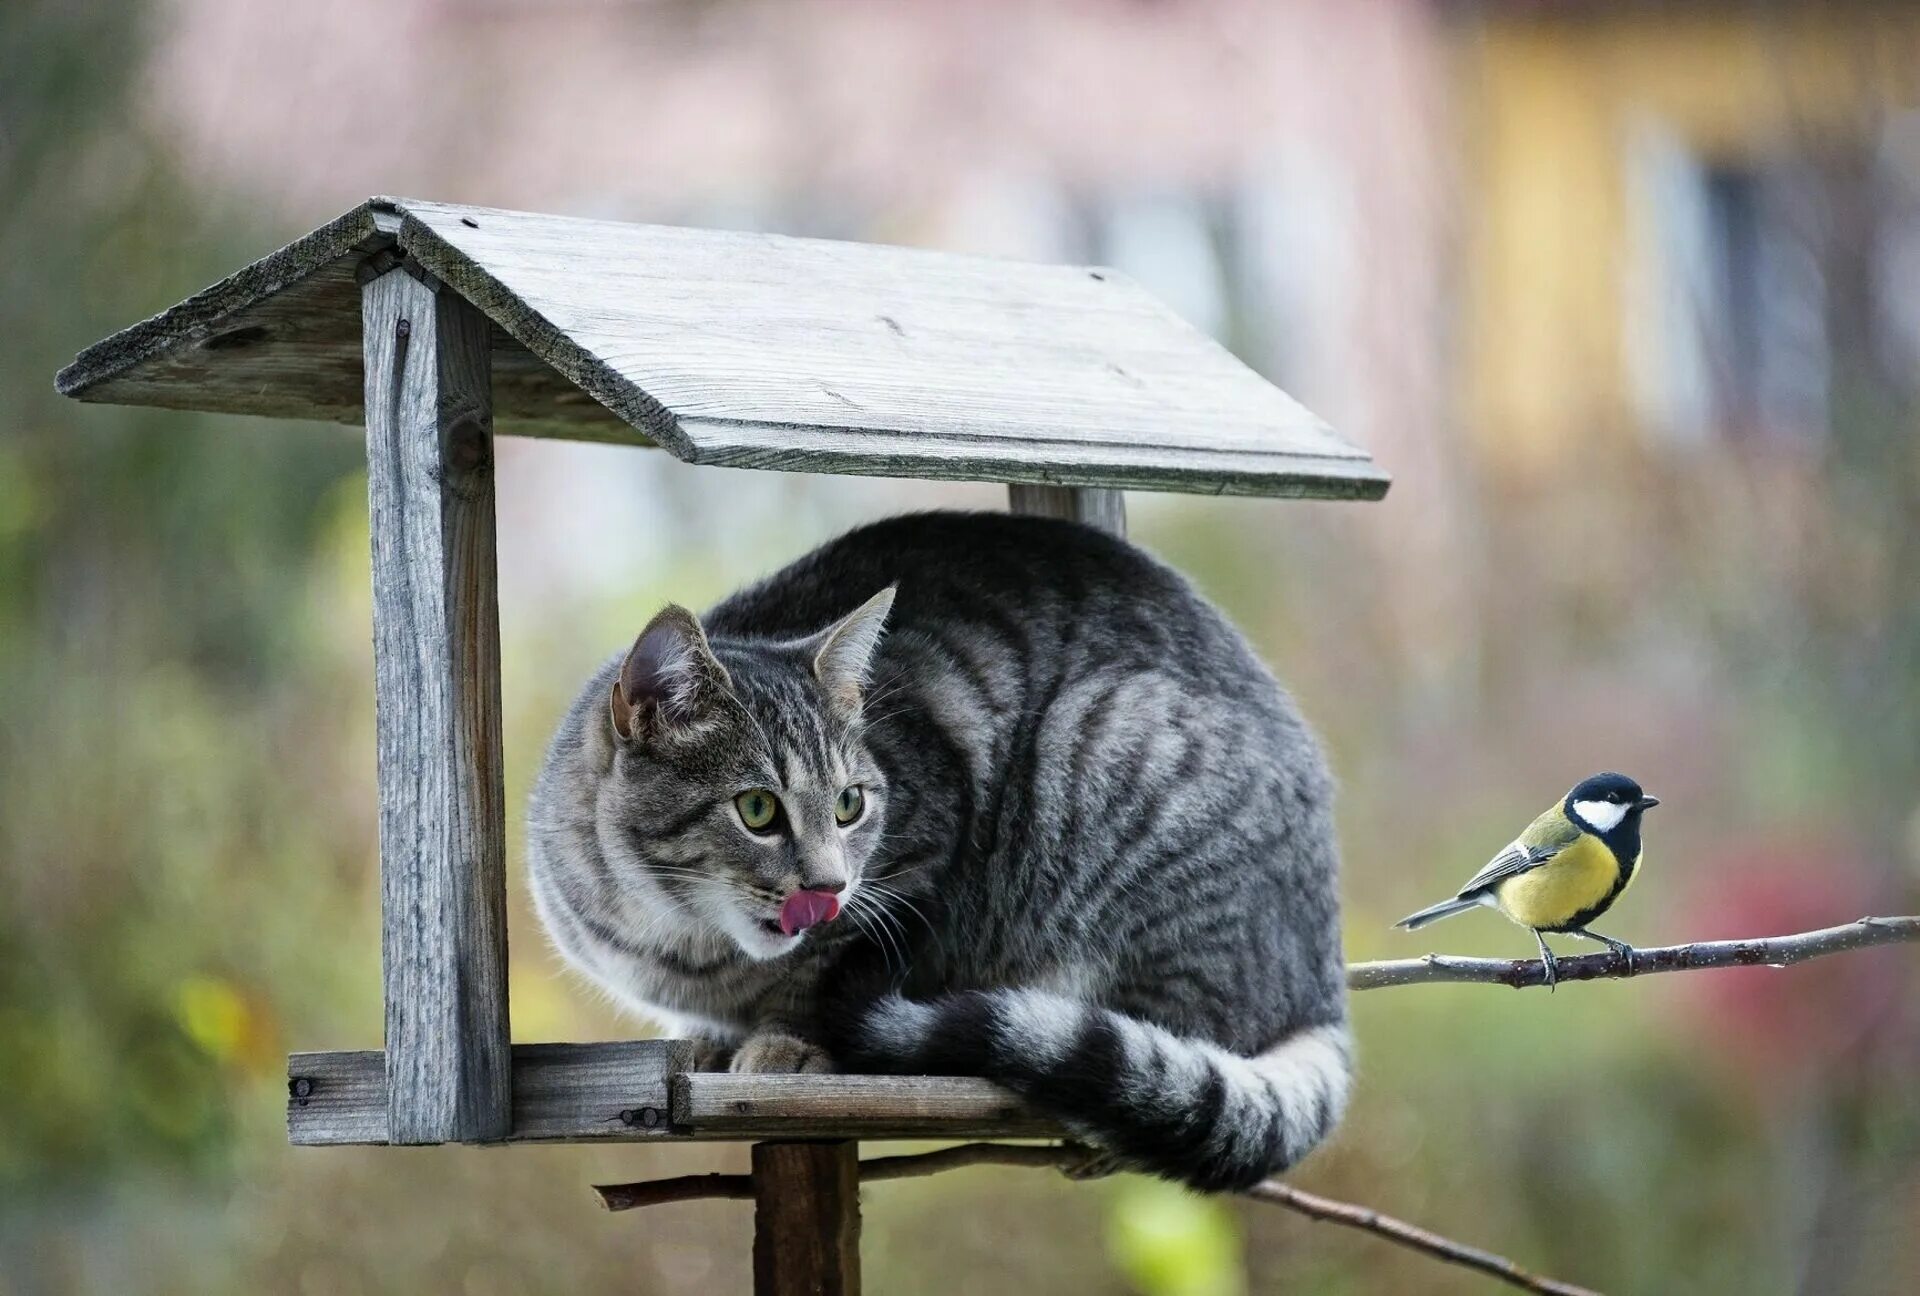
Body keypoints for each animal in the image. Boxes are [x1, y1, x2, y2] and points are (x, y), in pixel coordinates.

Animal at [526, 510, 1351, 1190]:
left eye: (851, 804)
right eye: (757, 810)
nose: (829, 885)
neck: (679, 941)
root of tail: (1323, 978)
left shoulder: (921, 854)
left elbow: (823, 975)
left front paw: (785, 1042)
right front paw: (703, 1042)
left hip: (1108, 745)